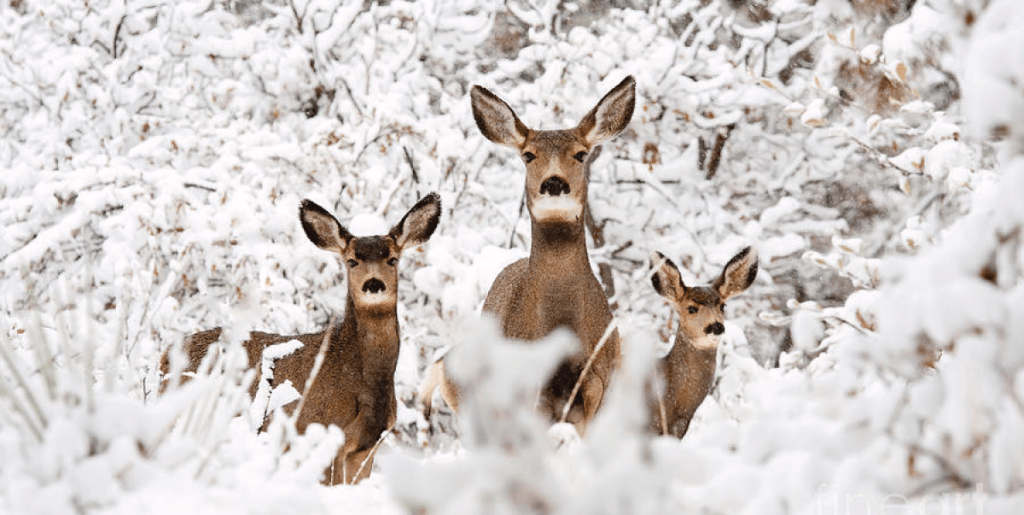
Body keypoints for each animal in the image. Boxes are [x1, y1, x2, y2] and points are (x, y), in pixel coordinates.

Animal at [161, 192, 442, 483]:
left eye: (392, 259)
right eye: (352, 261)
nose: (373, 284)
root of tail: (164, 356)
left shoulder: (367, 448)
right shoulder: (322, 431)